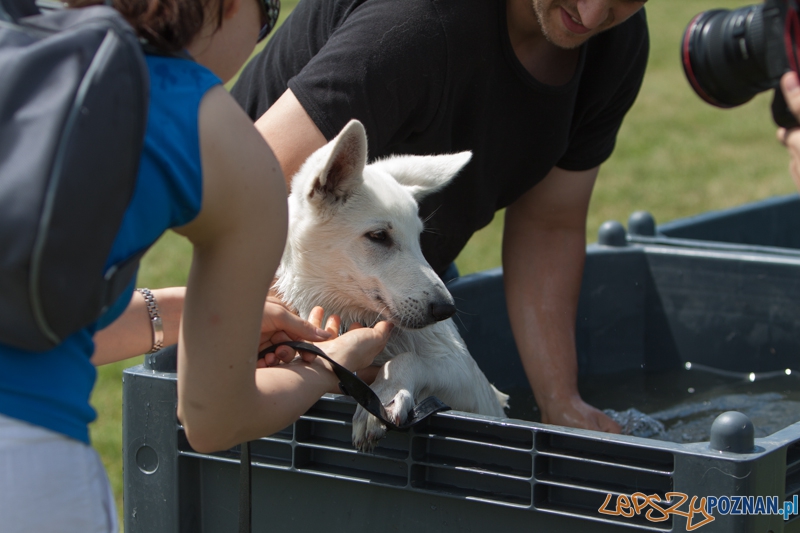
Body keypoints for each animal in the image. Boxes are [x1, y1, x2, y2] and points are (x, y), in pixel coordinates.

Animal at [274, 119, 506, 448]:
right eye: (378, 236)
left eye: (419, 237)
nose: (446, 310)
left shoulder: (468, 381)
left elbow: (409, 359)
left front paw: (385, 396)